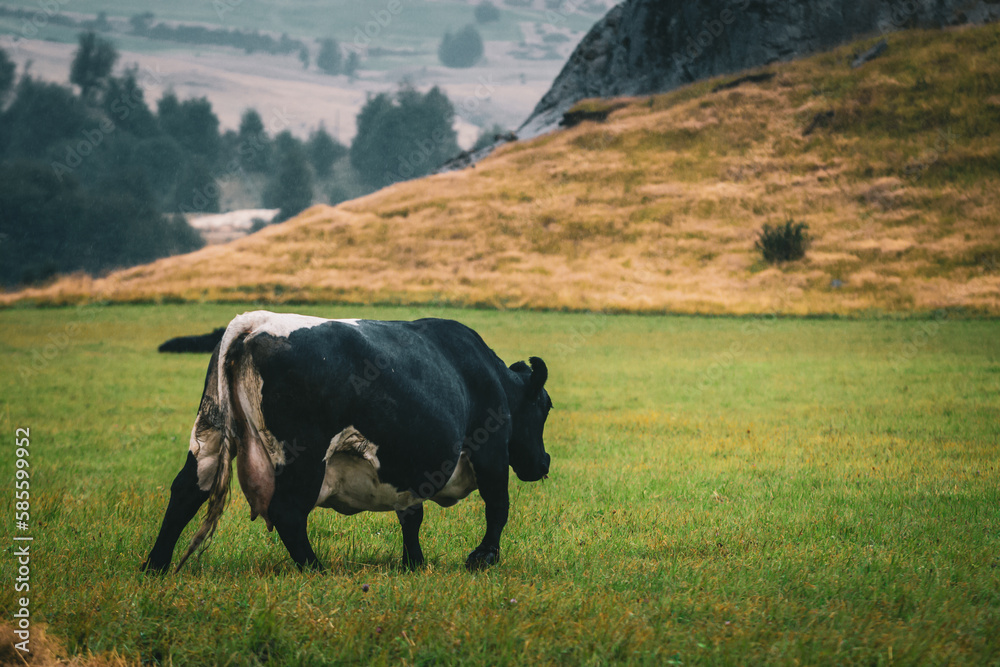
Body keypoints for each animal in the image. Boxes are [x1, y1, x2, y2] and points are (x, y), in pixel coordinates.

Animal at [139, 312, 556, 576]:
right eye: (546, 406)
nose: (544, 462)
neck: (489, 377)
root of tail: (253, 322)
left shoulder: (408, 467)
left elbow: (411, 516)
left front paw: (414, 563)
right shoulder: (490, 452)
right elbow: (498, 506)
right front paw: (484, 558)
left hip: (209, 435)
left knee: (186, 492)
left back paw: (155, 567)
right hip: (304, 456)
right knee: (289, 513)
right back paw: (316, 569)